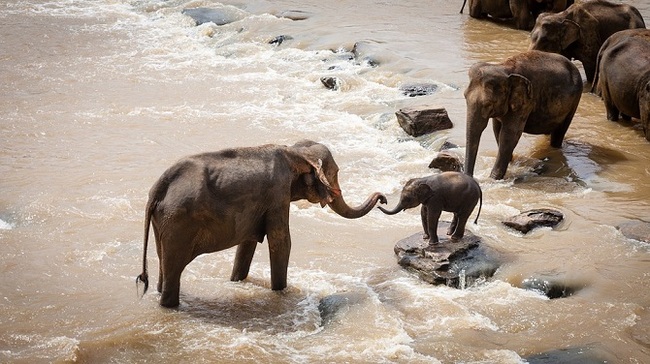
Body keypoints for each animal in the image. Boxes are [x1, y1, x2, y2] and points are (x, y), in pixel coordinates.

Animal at [133, 139, 384, 308]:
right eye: (336, 172)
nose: (383, 198)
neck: (294, 152)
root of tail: (157, 189)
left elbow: (247, 244)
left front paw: (236, 281)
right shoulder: (277, 195)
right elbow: (282, 242)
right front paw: (281, 293)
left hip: (163, 222)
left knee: (164, 265)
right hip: (178, 222)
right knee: (173, 269)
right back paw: (170, 306)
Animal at [460, 49, 584, 181]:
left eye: (488, 104)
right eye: (465, 96)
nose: (470, 177)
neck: (503, 67)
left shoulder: (526, 102)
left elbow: (509, 134)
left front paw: (493, 179)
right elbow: (497, 130)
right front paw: (509, 162)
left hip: (575, 101)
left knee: (559, 132)